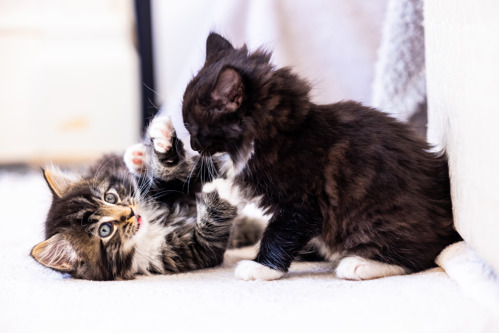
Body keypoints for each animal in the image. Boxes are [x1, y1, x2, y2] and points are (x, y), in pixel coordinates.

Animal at [31, 115, 242, 278]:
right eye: (105, 230)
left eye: (110, 198)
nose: (130, 212)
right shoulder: (196, 251)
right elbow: (210, 230)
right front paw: (222, 192)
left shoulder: (160, 191)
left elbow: (176, 176)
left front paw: (164, 142)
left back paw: (140, 156)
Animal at [182, 32, 462, 280]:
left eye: (192, 128)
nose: (193, 145)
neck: (281, 136)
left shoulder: (303, 204)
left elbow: (278, 234)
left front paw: (261, 267)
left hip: (380, 218)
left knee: (420, 254)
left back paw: (359, 263)